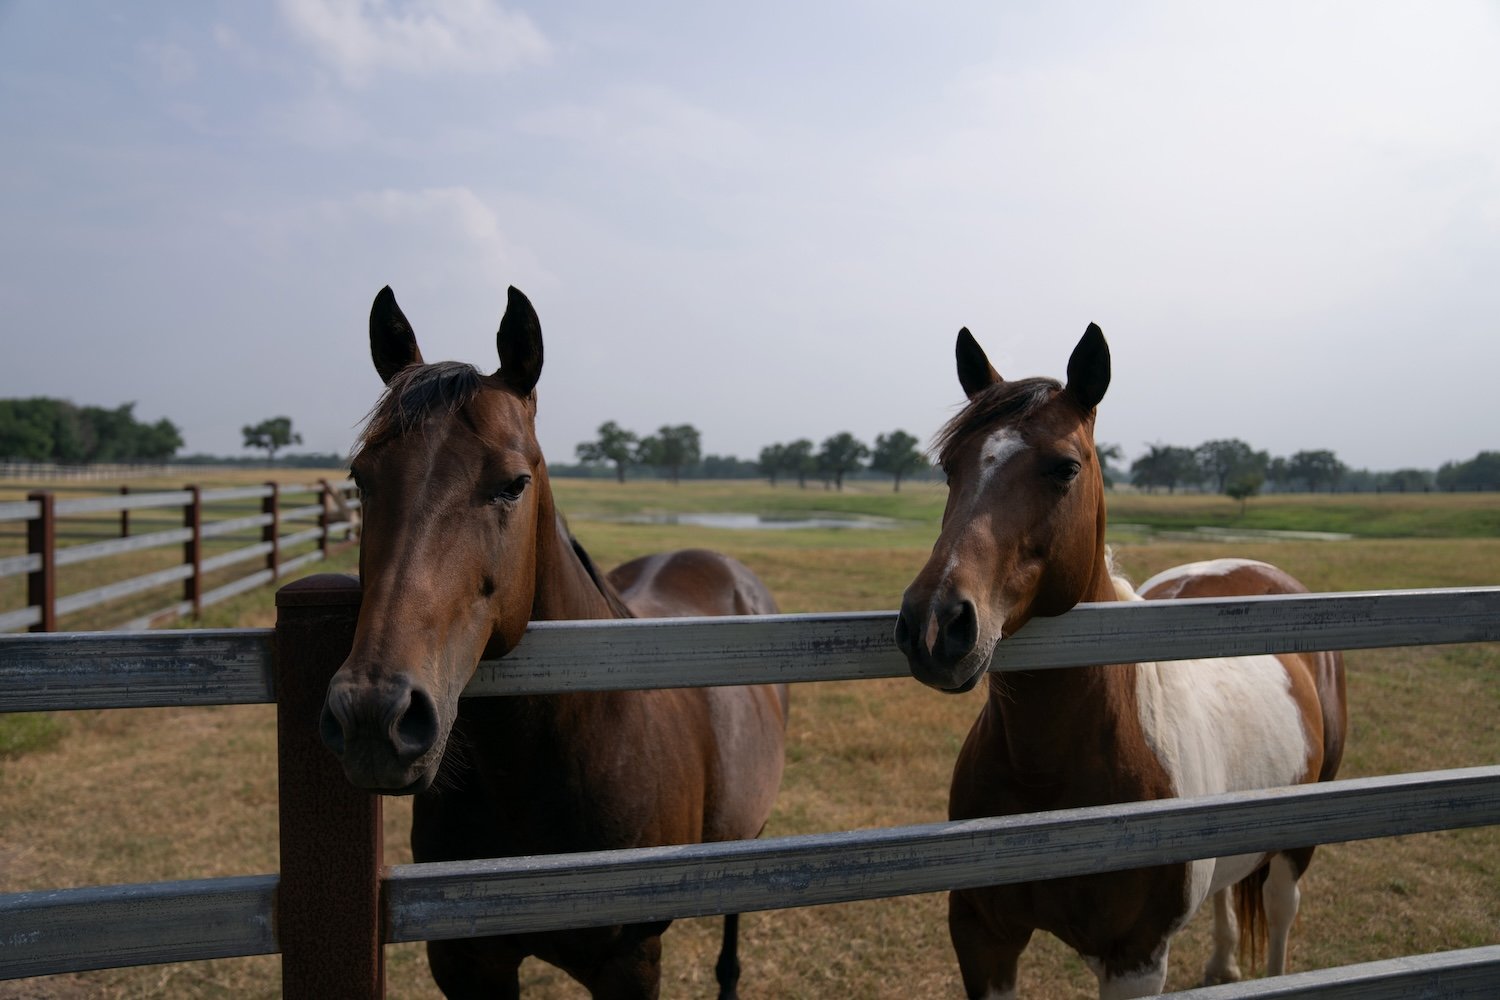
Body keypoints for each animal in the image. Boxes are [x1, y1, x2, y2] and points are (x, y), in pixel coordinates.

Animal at [888, 325, 1350, 995]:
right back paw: (1222, 965)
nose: (933, 627)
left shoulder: (1136, 955)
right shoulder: (982, 937)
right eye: (950, 467)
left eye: (1064, 467)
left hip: (1298, 840)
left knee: (1282, 914)